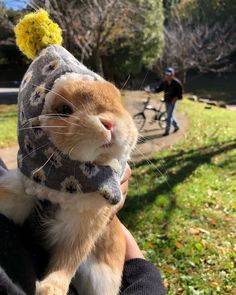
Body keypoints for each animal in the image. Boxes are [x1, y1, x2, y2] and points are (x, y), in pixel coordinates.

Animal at [0, 75, 137, 294]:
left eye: (118, 101)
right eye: (64, 109)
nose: (109, 124)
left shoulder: (82, 230)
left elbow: (68, 260)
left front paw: (50, 289)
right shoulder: (21, 192)